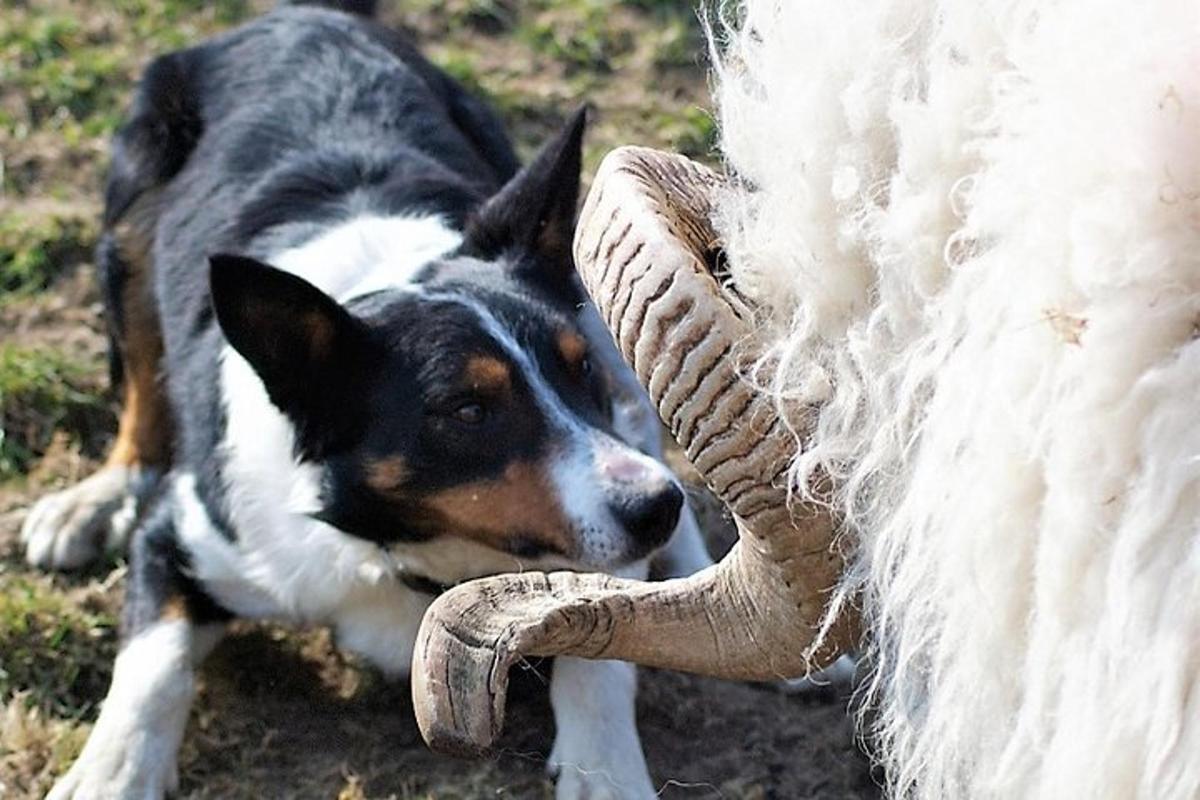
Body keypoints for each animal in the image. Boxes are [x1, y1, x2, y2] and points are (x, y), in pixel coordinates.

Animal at [28, 3, 710, 796]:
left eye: (580, 372)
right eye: (467, 411)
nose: (654, 507)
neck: (400, 547)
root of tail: (303, 15)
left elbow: (601, 653)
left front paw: (606, 771)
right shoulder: (187, 536)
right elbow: (154, 662)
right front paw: (111, 772)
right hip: (129, 214)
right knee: (141, 377)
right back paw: (96, 496)